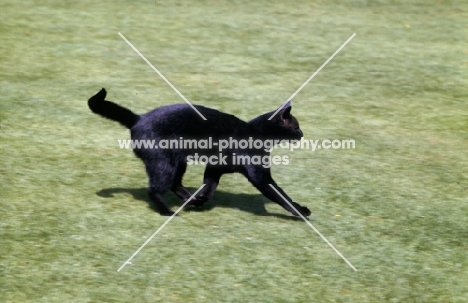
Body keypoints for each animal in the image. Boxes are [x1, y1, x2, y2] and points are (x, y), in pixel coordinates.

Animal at [88, 88, 310, 218]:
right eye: (296, 126)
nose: (302, 134)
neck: (257, 132)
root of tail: (137, 118)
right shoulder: (260, 175)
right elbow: (281, 195)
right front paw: (301, 211)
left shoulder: (214, 168)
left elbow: (209, 186)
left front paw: (202, 200)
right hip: (164, 164)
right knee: (155, 190)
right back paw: (168, 212)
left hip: (179, 162)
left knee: (175, 185)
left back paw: (191, 200)